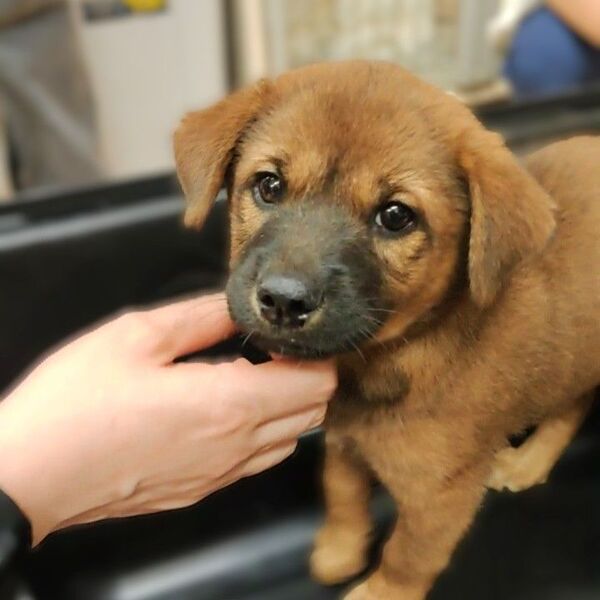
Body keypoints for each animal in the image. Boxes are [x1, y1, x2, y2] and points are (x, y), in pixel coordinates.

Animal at [174, 61, 600, 600]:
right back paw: (529, 463)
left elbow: (408, 555)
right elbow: (342, 495)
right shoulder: (343, 440)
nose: (284, 301)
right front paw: (339, 550)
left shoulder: (442, 493)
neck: (393, 354)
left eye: (396, 216)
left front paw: (380, 591)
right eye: (268, 185)